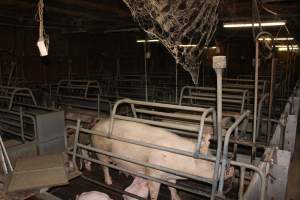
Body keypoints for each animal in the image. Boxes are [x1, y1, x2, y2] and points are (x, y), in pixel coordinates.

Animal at [92, 119, 224, 200]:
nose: (228, 169)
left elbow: (172, 188)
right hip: (100, 152)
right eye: (211, 163)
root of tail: (96, 125)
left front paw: (177, 198)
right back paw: (109, 182)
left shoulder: (170, 176)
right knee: (104, 167)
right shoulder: (153, 174)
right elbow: (154, 192)